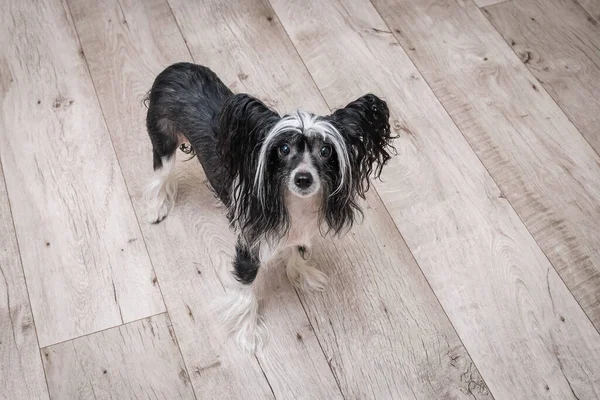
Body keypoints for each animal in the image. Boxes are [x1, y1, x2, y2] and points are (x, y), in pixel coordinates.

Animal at [145, 61, 396, 350]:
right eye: (283, 149)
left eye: (325, 151)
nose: (303, 178)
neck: (295, 203)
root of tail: (173, 68)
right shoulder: (248, 243)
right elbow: (246, 289)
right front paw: (248, 334)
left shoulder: (300, 230)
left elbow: (298, 250)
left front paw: (304, 275)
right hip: (163, 141)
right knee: (160, 175)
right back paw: (157, 207)